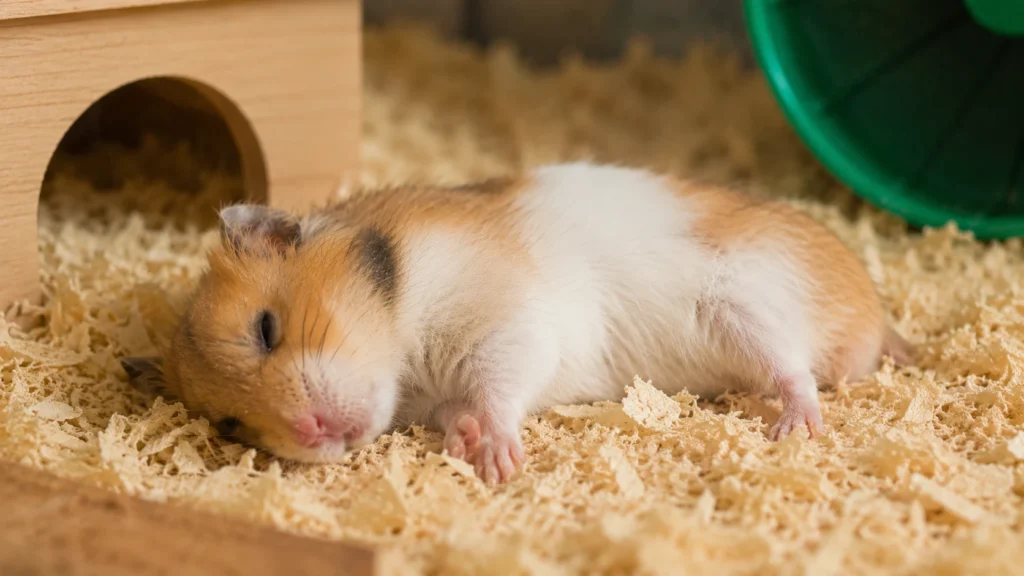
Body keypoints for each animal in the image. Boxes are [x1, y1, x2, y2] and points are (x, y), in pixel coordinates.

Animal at [121, 162, 914, 484]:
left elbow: (500, 387)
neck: (403, 343)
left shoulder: (510, 322)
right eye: (230, 425)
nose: (316, 436)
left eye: (265, 328)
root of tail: (878, 315)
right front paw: (459, 440)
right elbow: (461, 408)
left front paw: (497, 461)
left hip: (743, 306)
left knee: (797, 370)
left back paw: (794, 429)